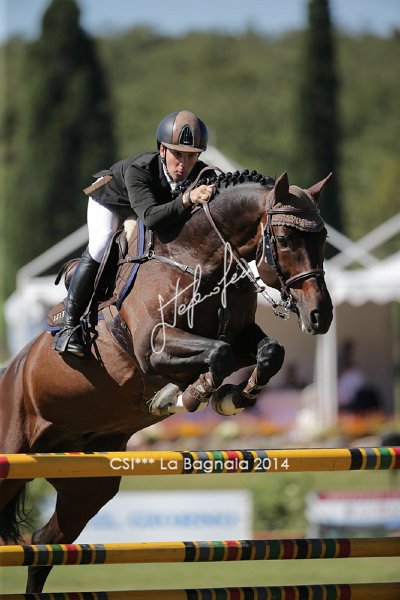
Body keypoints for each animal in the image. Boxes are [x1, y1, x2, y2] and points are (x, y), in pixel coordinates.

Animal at [0, 170, 333, 592]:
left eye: (322, 238)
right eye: (286, 239)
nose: (320, 315)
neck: (198, 257)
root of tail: (12, 370)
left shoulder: (239, 336)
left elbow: (268, 352)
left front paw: (232, 397)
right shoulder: (153, 347)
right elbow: (217, 355)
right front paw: (185, 396)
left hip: (88, 484)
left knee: (45, 544)